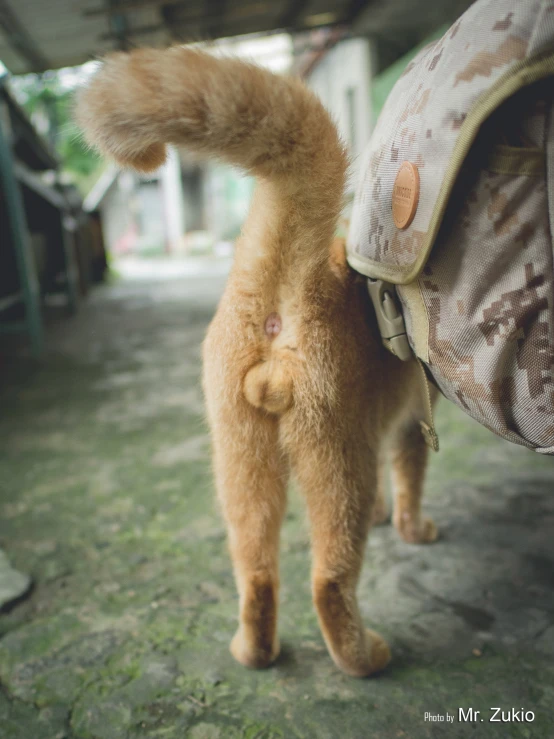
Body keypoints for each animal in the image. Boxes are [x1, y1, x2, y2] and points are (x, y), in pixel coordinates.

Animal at [76, 47, 436, 676]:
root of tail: (294, 276)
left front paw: (388, 517)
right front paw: (413, 529)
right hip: (337, 457)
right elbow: (410, 486)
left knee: (256, 572)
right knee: (328, 578)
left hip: (239, 456)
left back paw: (255, 651)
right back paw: (362, 657)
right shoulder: (408, 426)